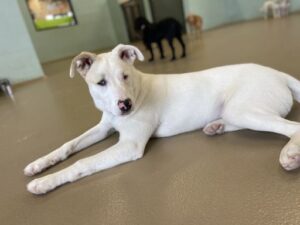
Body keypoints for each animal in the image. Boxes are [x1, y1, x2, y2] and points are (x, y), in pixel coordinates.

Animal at [24, 44, 300, 194]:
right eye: (101, 83)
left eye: (125, 76)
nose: (125, 105)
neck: (137, 89)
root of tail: (278, 73)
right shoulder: (104, 128)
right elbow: (68, 145)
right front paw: (39, 165)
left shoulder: (130, 145)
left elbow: (82, 163)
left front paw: (44, 182)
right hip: (237, 109)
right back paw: (216, 126)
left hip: (243, 109)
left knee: (292, 127)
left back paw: (290, 154)